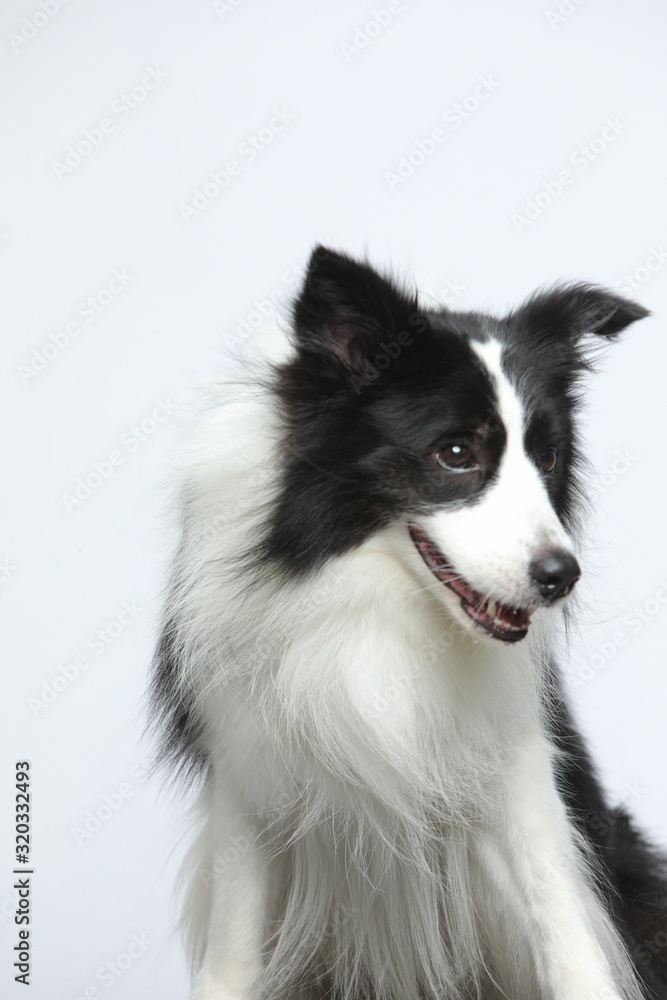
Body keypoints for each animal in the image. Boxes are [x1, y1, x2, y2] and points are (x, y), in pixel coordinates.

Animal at [153, 246, 667, 996]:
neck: (377, 599)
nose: (560, 576)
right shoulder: (246, 771)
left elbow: (564, 924)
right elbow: (234, 952)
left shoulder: (517, 763)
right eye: (455, 454)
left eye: (546, 456)